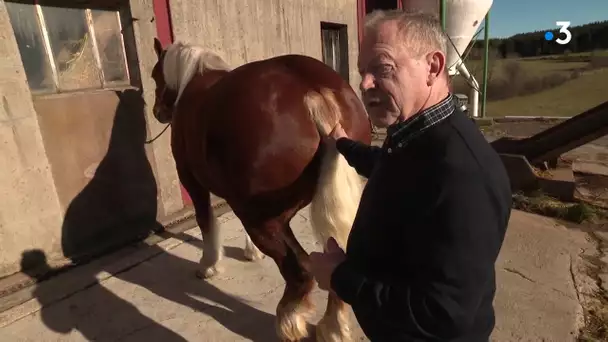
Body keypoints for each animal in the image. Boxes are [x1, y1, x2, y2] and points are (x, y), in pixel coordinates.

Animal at [151, 38, 370, 340]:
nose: (157, 112)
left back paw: (290, 322)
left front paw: (209, 266)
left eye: (154, 75)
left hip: (263, 220)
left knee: (300, 271)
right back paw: (331, 327)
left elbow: (205, 221)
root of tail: (313, 93)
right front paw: (250, 253)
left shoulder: (193, 182)